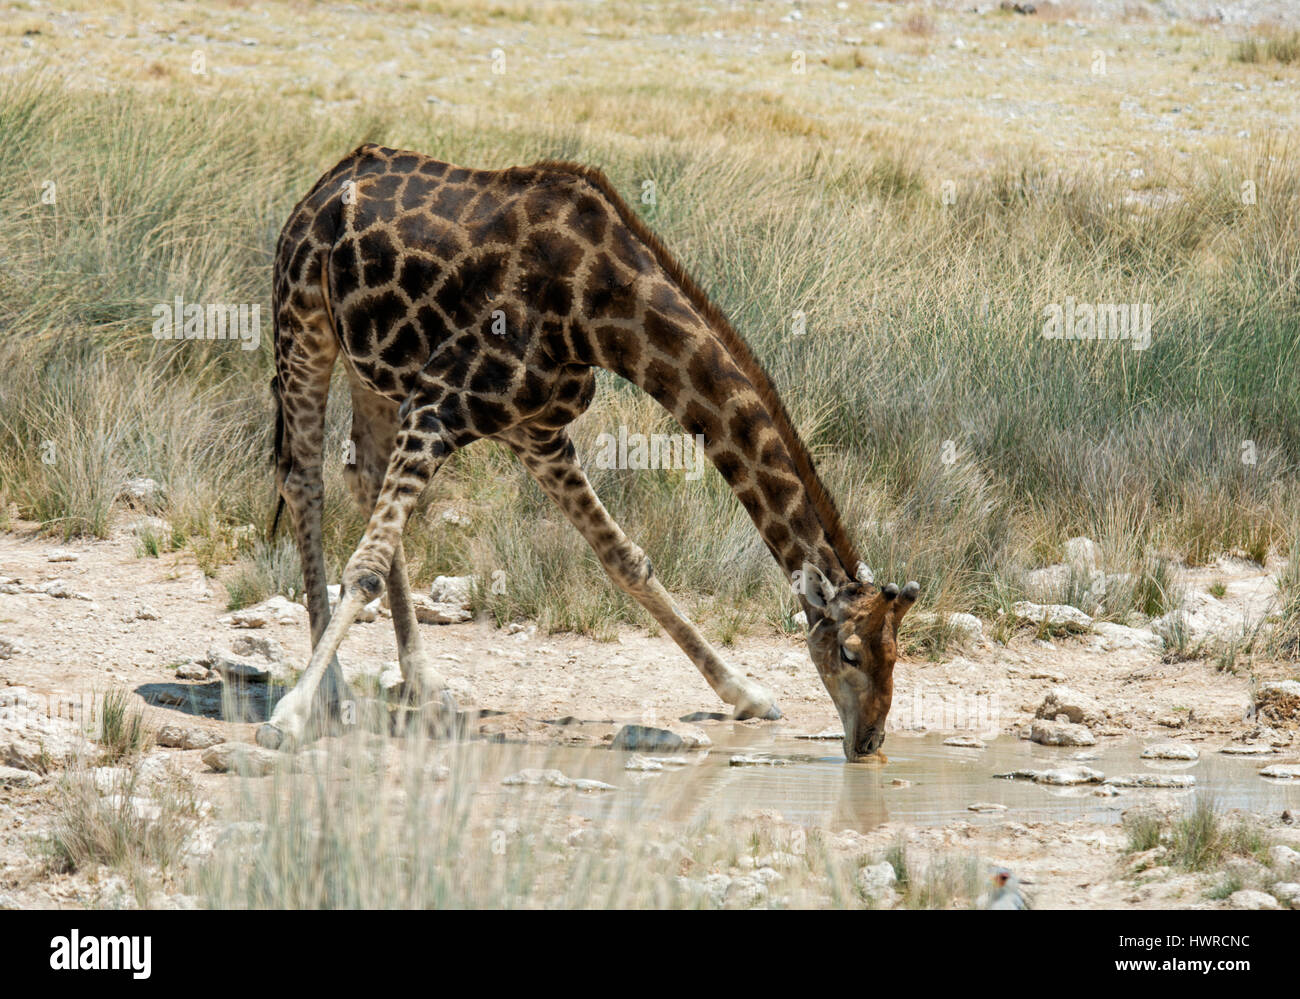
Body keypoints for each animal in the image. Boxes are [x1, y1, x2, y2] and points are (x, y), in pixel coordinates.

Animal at [258, 142, 920, 764]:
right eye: (849, 653)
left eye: (897, 653)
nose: (869, 741)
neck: (598, 309)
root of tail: (326, 182)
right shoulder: (440, 402)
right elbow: (365, 568)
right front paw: (288, 717)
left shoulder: (535, 429)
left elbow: (626, 560)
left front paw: (745, 693)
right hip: (302, 318)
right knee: (303, 480)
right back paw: (336, 693)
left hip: (371, 367)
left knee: (362, 473)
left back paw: (425, 685)